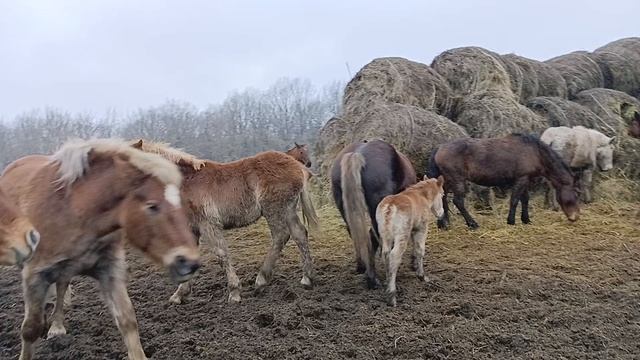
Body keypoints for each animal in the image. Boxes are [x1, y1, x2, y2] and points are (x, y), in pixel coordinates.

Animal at [0, 139, 200, 360]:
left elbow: (127, 321)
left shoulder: (109, 269)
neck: (74, 210)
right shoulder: (35, 274)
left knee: (61, 289)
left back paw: (57, 326)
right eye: (152, 206)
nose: (190, 261)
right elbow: (30, 329)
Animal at [132, 139, 318, 302]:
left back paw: (261, 280)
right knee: (299, 233)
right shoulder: (191, 227)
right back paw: (307, 278)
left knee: (281, 236)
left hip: (274, 209)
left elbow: (221, 254)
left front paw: (234, 292)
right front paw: (179, 294)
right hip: (288, 210)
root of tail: (298, 166)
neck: (185, 183)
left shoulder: (208, 224)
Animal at [424, 134, 580, 229]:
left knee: (443, 197)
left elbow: (525, 200)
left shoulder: (525, 180)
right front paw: (511, 220)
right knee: (458, 202)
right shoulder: (521, 179)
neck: (535, 152)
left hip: (447, 180)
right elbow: (515, 200)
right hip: (457, 180)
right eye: (575, 194)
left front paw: (526, 219)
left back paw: (444, 223)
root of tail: (439, 148)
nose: (575, 217)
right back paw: (472, 223)